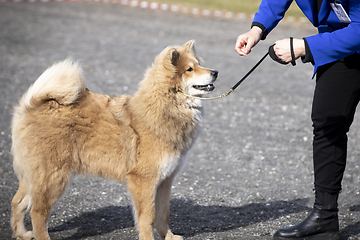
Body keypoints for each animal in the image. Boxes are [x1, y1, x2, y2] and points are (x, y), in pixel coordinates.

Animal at [11, 40, 218, 240]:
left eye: (199, 64)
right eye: (190, 69)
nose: (215, 72)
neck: (167, 107)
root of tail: (32, 105)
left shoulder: (165, 180)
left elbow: (163, 214)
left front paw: (169, 236)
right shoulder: (144, 180)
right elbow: (148, 217)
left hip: (34, 177)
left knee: (18, 203)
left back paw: (22, 234)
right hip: (53, 177)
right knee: (37, 212)